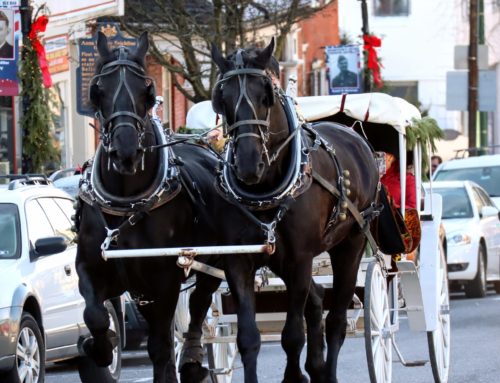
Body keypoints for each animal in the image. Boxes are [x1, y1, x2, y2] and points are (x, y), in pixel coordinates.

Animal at [210, 40, 378, 382]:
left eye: (266, 97)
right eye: (223, 99)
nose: (248, 164)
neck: (267, 190)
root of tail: (353, 133)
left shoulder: (301, 259)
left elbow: (292, 335)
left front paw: (294, 376)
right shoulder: (239, 261)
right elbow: (248, 338)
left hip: (350, 244)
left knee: (335, 319)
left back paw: (327, 371)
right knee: (317, 300)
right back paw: (315, 366)